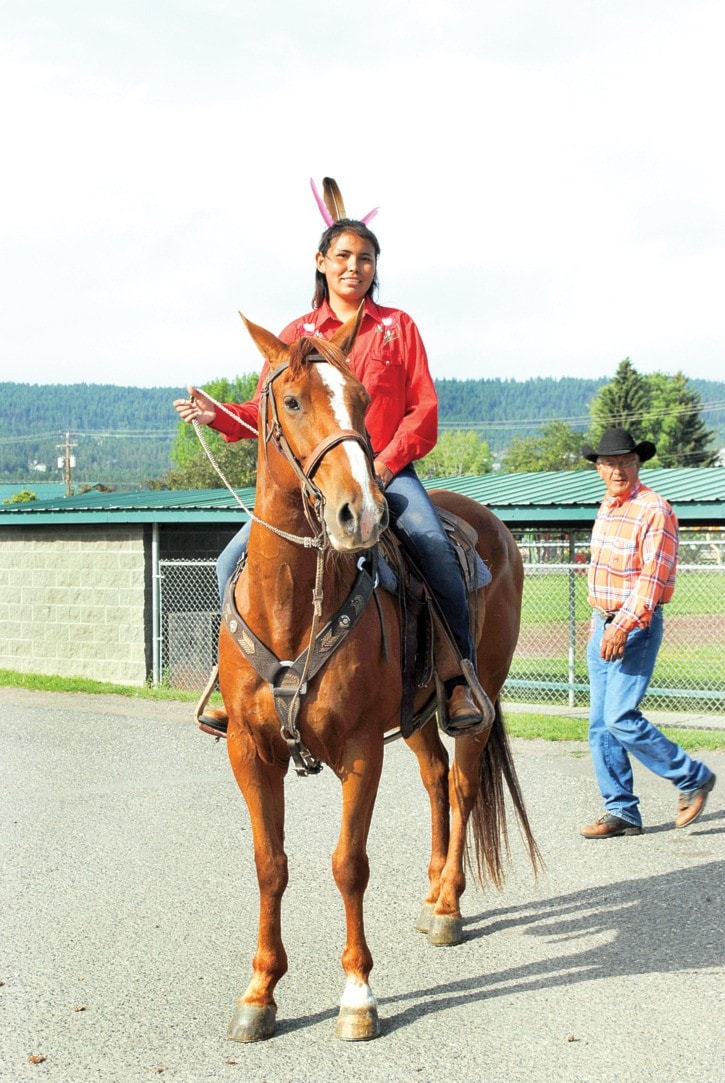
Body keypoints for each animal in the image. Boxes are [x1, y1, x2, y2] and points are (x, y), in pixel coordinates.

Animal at [214, 309, 537, 1044]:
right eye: (291, 400)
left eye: (362, 400)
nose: (359, 513)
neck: (292, 608)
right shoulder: (250, 750)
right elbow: (269, 865)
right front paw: (259, 991)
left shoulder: (360, 749)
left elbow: (348, 865)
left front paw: (358, 994)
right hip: (414, 714)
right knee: (433, 778)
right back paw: (431, 889)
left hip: (478, 698)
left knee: (460, 784)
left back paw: (447, 906)